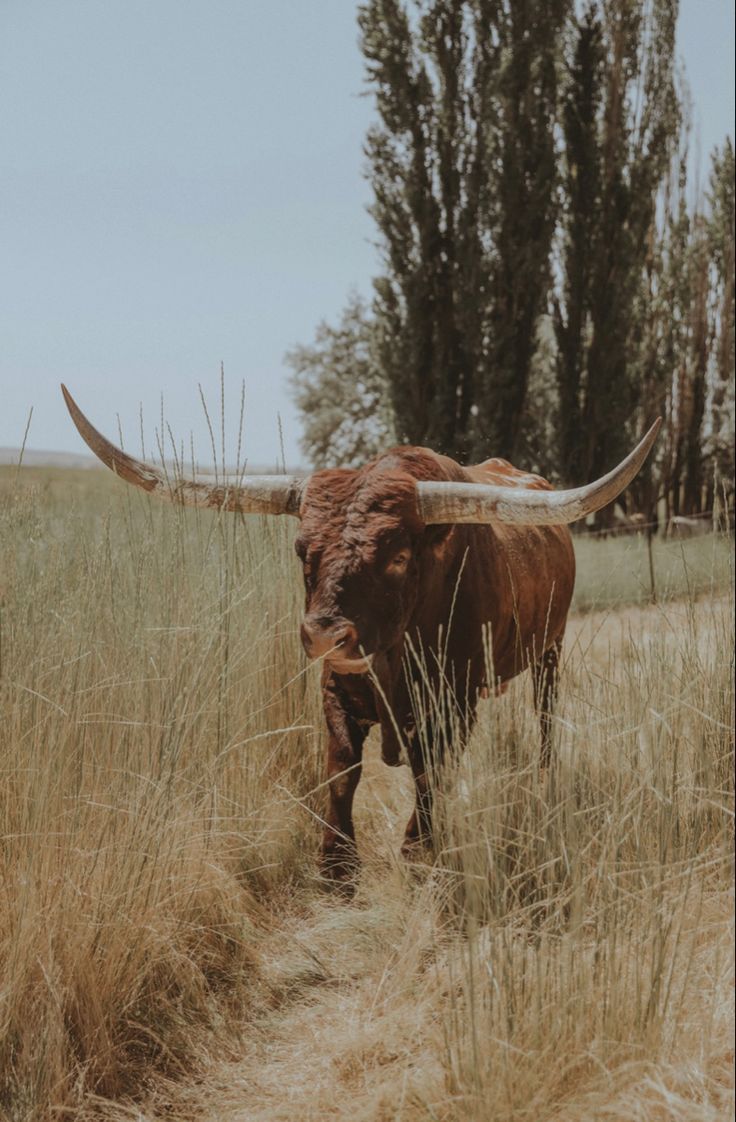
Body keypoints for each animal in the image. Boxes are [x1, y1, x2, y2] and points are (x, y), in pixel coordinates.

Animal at [61, 386, 660, 891]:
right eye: (302, 549)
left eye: (397, 556)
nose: (325, 635)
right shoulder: (336, 689)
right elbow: (342, 769)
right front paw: (336, 862)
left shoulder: (452, 700)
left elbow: (429, 771)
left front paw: (417, 850)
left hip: (551, 650)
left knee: (545, 718)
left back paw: (542, 779)